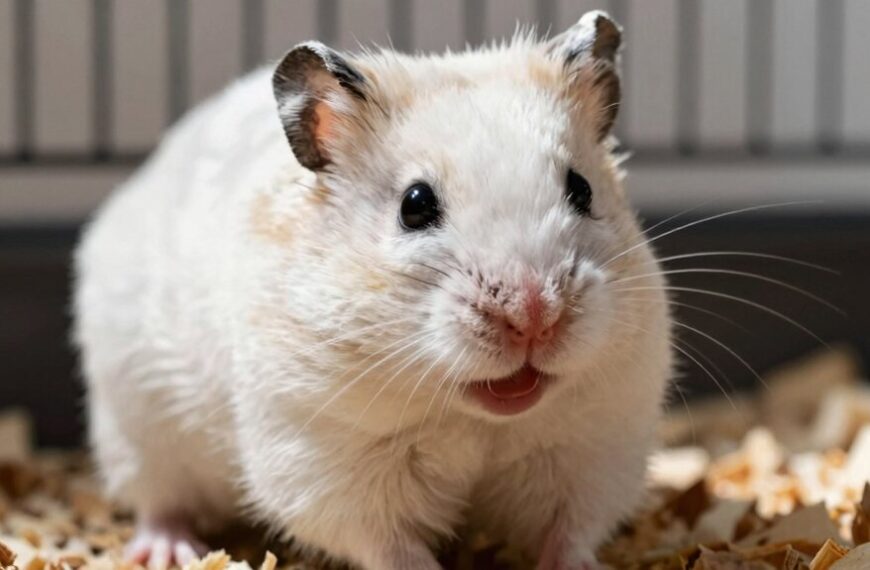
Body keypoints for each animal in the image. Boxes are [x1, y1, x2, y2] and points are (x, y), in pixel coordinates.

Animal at [73, 11, 672, 570]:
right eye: (415, 205)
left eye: (582, 189)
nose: (533, 317)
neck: (470, 415)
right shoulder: (327, 465)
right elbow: (392, 545)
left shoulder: (593, 447)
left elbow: (570, 533)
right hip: (136, 431)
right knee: (159, 502)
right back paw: (170, 551)